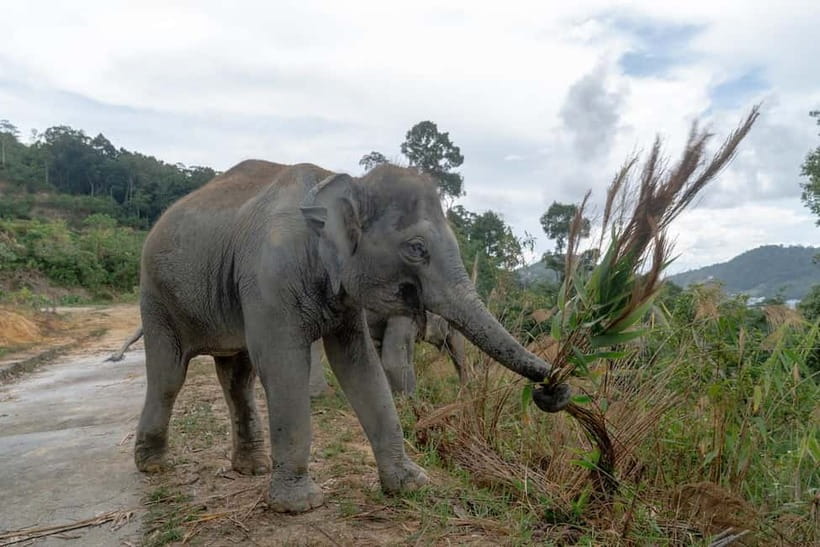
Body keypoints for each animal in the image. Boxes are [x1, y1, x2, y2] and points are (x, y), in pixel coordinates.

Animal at [131, 160, 570, 513]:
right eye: (416, 248)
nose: (553, 387)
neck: (340, 182)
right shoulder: (270, 277)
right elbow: (284, 364)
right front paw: (299, 506)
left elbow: (360, 364)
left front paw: (410, 484)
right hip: (155, 294)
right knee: (169, 376)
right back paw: (153, 464)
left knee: (237, 379)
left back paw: (251, 468)